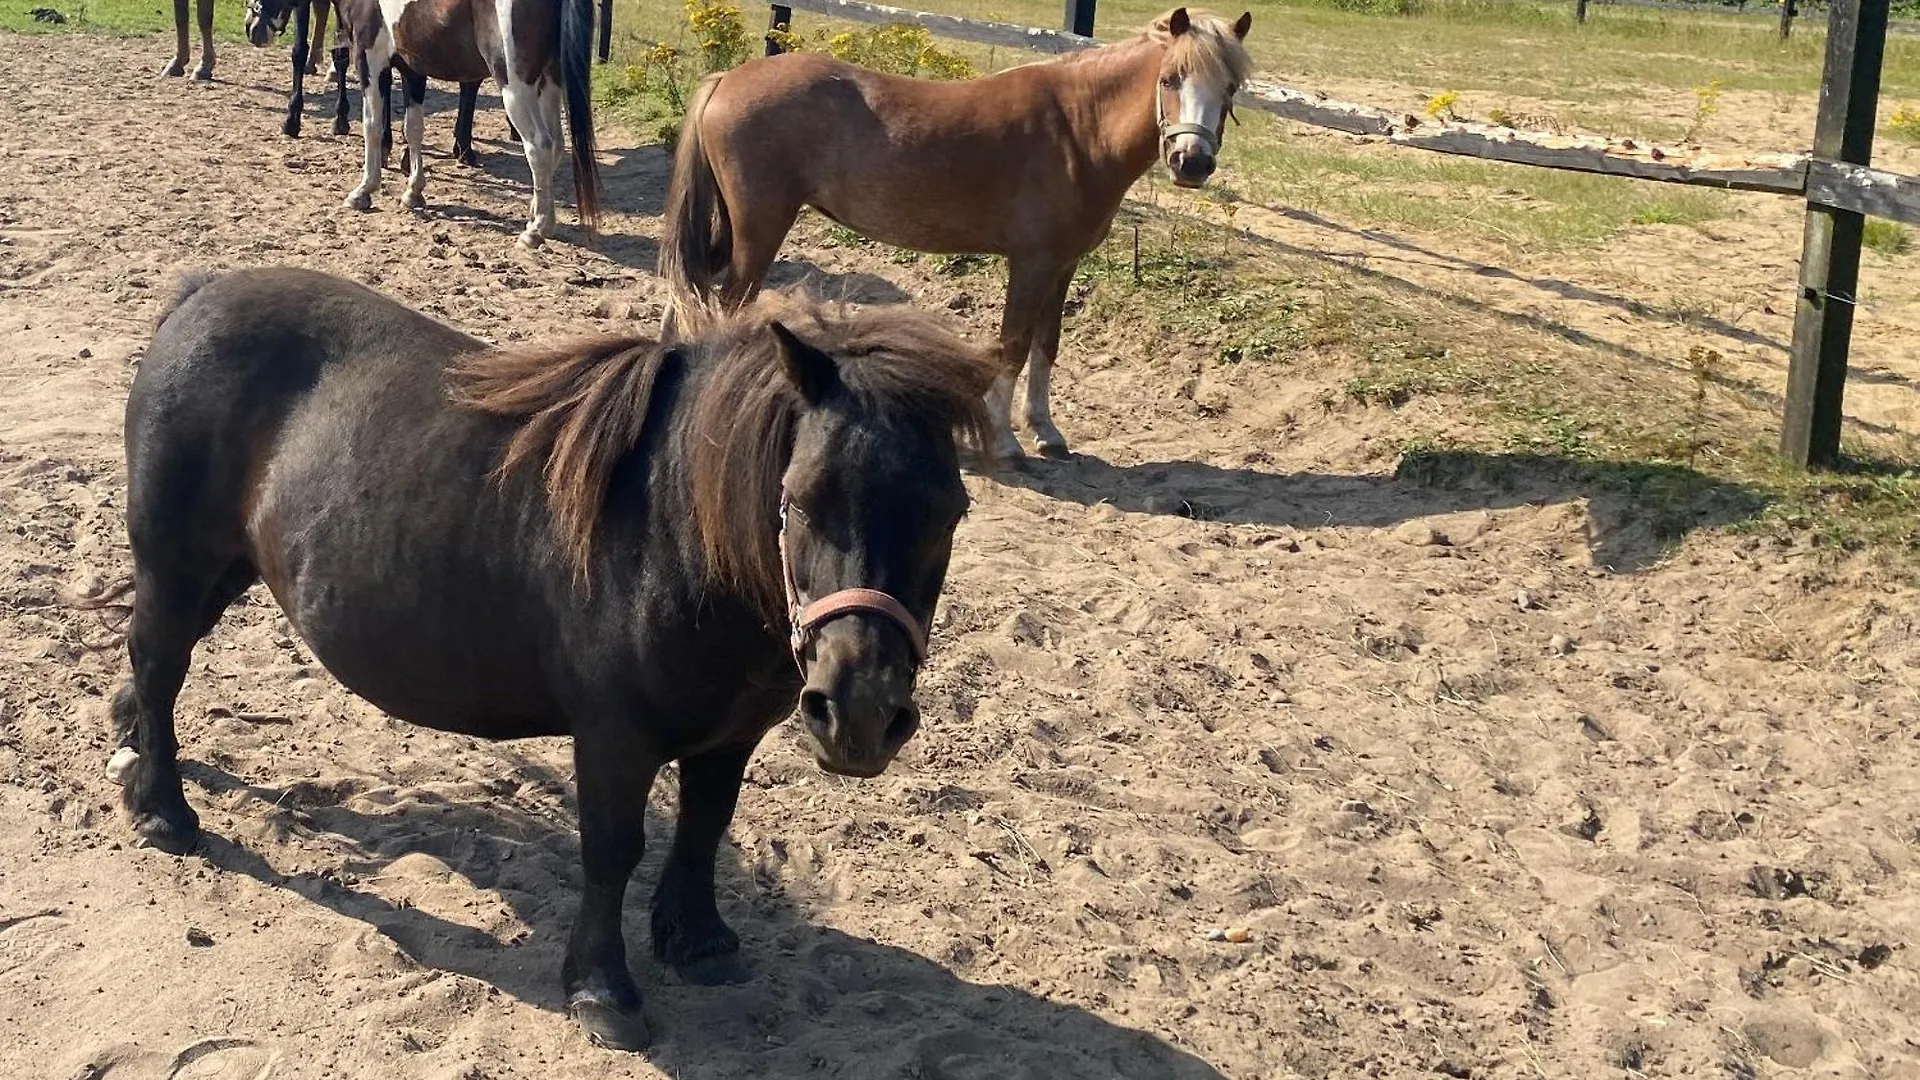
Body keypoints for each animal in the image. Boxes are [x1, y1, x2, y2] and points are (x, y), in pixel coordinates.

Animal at [88, 265, 990, 1045]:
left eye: (950, 510)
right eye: (802, 500)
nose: (863, 713)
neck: (673, 533)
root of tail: (201, 295)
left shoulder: (732, 735)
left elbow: (704, 825)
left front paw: (698, 941)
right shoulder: (614, 736)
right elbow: (612, 849)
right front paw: (603, 989)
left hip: (227, 570)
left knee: (149, 674)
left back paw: (134, 751)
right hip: (177, 566)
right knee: (161, 666)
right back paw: (163, 811)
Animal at [334, 0, 595, 244]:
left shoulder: (368, 56)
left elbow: (372, 126)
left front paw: (363, 190)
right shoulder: (412, 67)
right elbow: (414, 128)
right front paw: (413, 191)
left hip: (515, 85)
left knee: (539, 147)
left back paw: (537, 229)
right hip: (550, 80)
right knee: (557, 144)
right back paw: (535, 214)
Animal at [664, 6, 1259, 457]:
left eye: (1229, 87)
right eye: (1169, 79)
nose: (1191, 162)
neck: (1077, 128)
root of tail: (728, 79)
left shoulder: (1062, 265)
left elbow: (1046, 346)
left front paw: (1045, 431)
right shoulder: (1031, 263)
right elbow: (1011, 346)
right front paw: (1003, 440)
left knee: (687, 294)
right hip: (759, 231)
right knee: (725, 304)